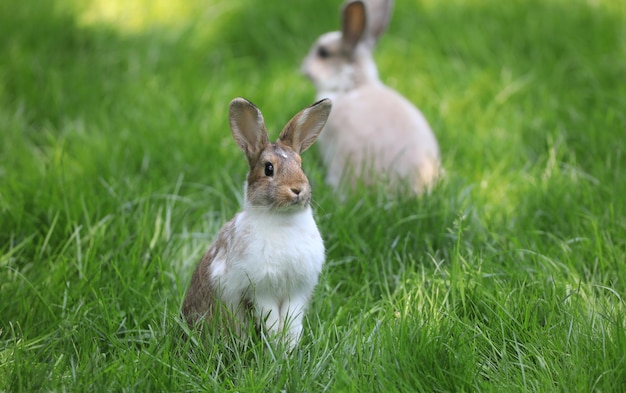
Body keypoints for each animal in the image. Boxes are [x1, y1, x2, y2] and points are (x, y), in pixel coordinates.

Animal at [182, 95, 332, 350]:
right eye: (268, 168)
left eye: (300, 165)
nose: (297, 190)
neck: (284, 220)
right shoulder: (260, 291)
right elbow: (272, 322)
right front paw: (277, 348)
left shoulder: (297, 291)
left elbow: (292, 323)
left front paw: (288, 350)